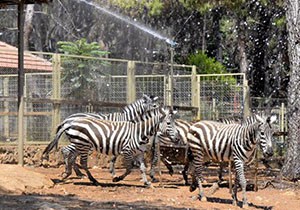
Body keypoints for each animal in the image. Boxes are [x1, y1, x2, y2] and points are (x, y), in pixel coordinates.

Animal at [42, 106, 178, 185]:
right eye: (169, 123)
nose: (177, 138)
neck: (140, 132)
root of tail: (69, 122)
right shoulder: (127, 151)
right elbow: (129, 168)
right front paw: (117, 178)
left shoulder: (139, 153)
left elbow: (142, 168)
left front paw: (146, 182)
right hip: (83, 145)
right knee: (81, 161)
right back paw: (92, 180)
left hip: (79, 144)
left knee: (70, 154)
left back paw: (68, 173)